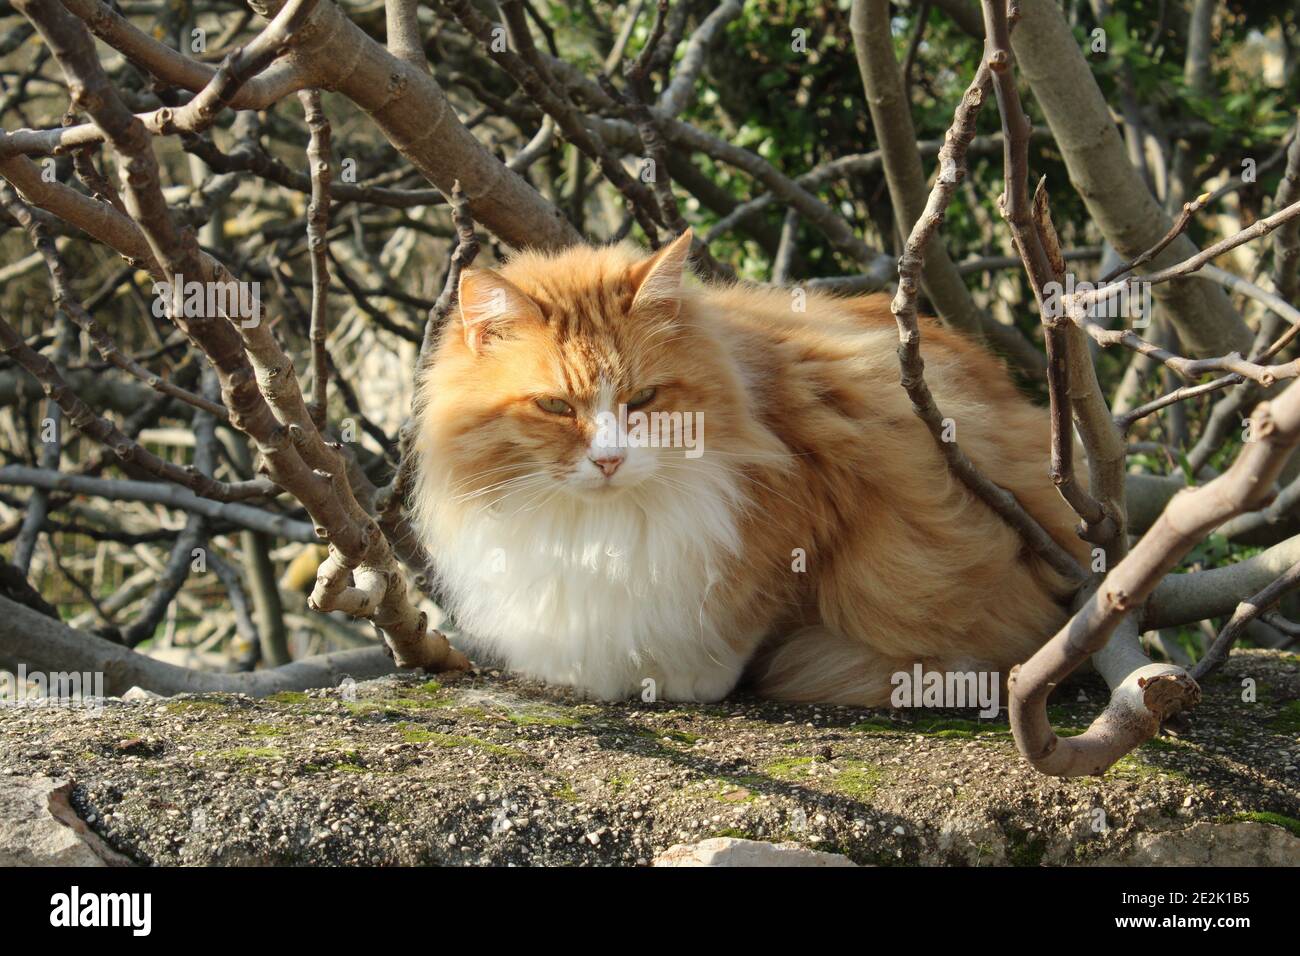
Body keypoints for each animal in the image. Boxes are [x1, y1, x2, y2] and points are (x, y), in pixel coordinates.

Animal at [413, 230, 1086, 712]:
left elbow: (747, 622)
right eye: (555, 406)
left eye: (644, 399)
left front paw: (686, 674)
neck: (598, 527)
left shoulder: (810, 511)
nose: (608, 460)